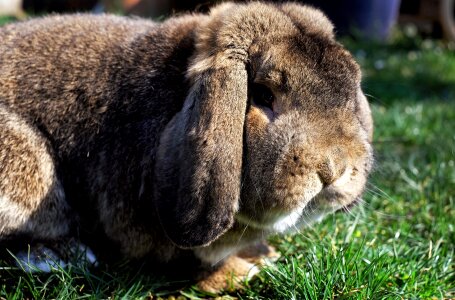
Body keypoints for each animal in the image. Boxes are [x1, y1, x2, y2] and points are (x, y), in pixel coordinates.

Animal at [0, 1, 374, 292]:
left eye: (349, 87)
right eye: (263, 94)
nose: (333, 169)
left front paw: (263, 255)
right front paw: (243, 272)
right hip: (29, 170)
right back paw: (60, 256)